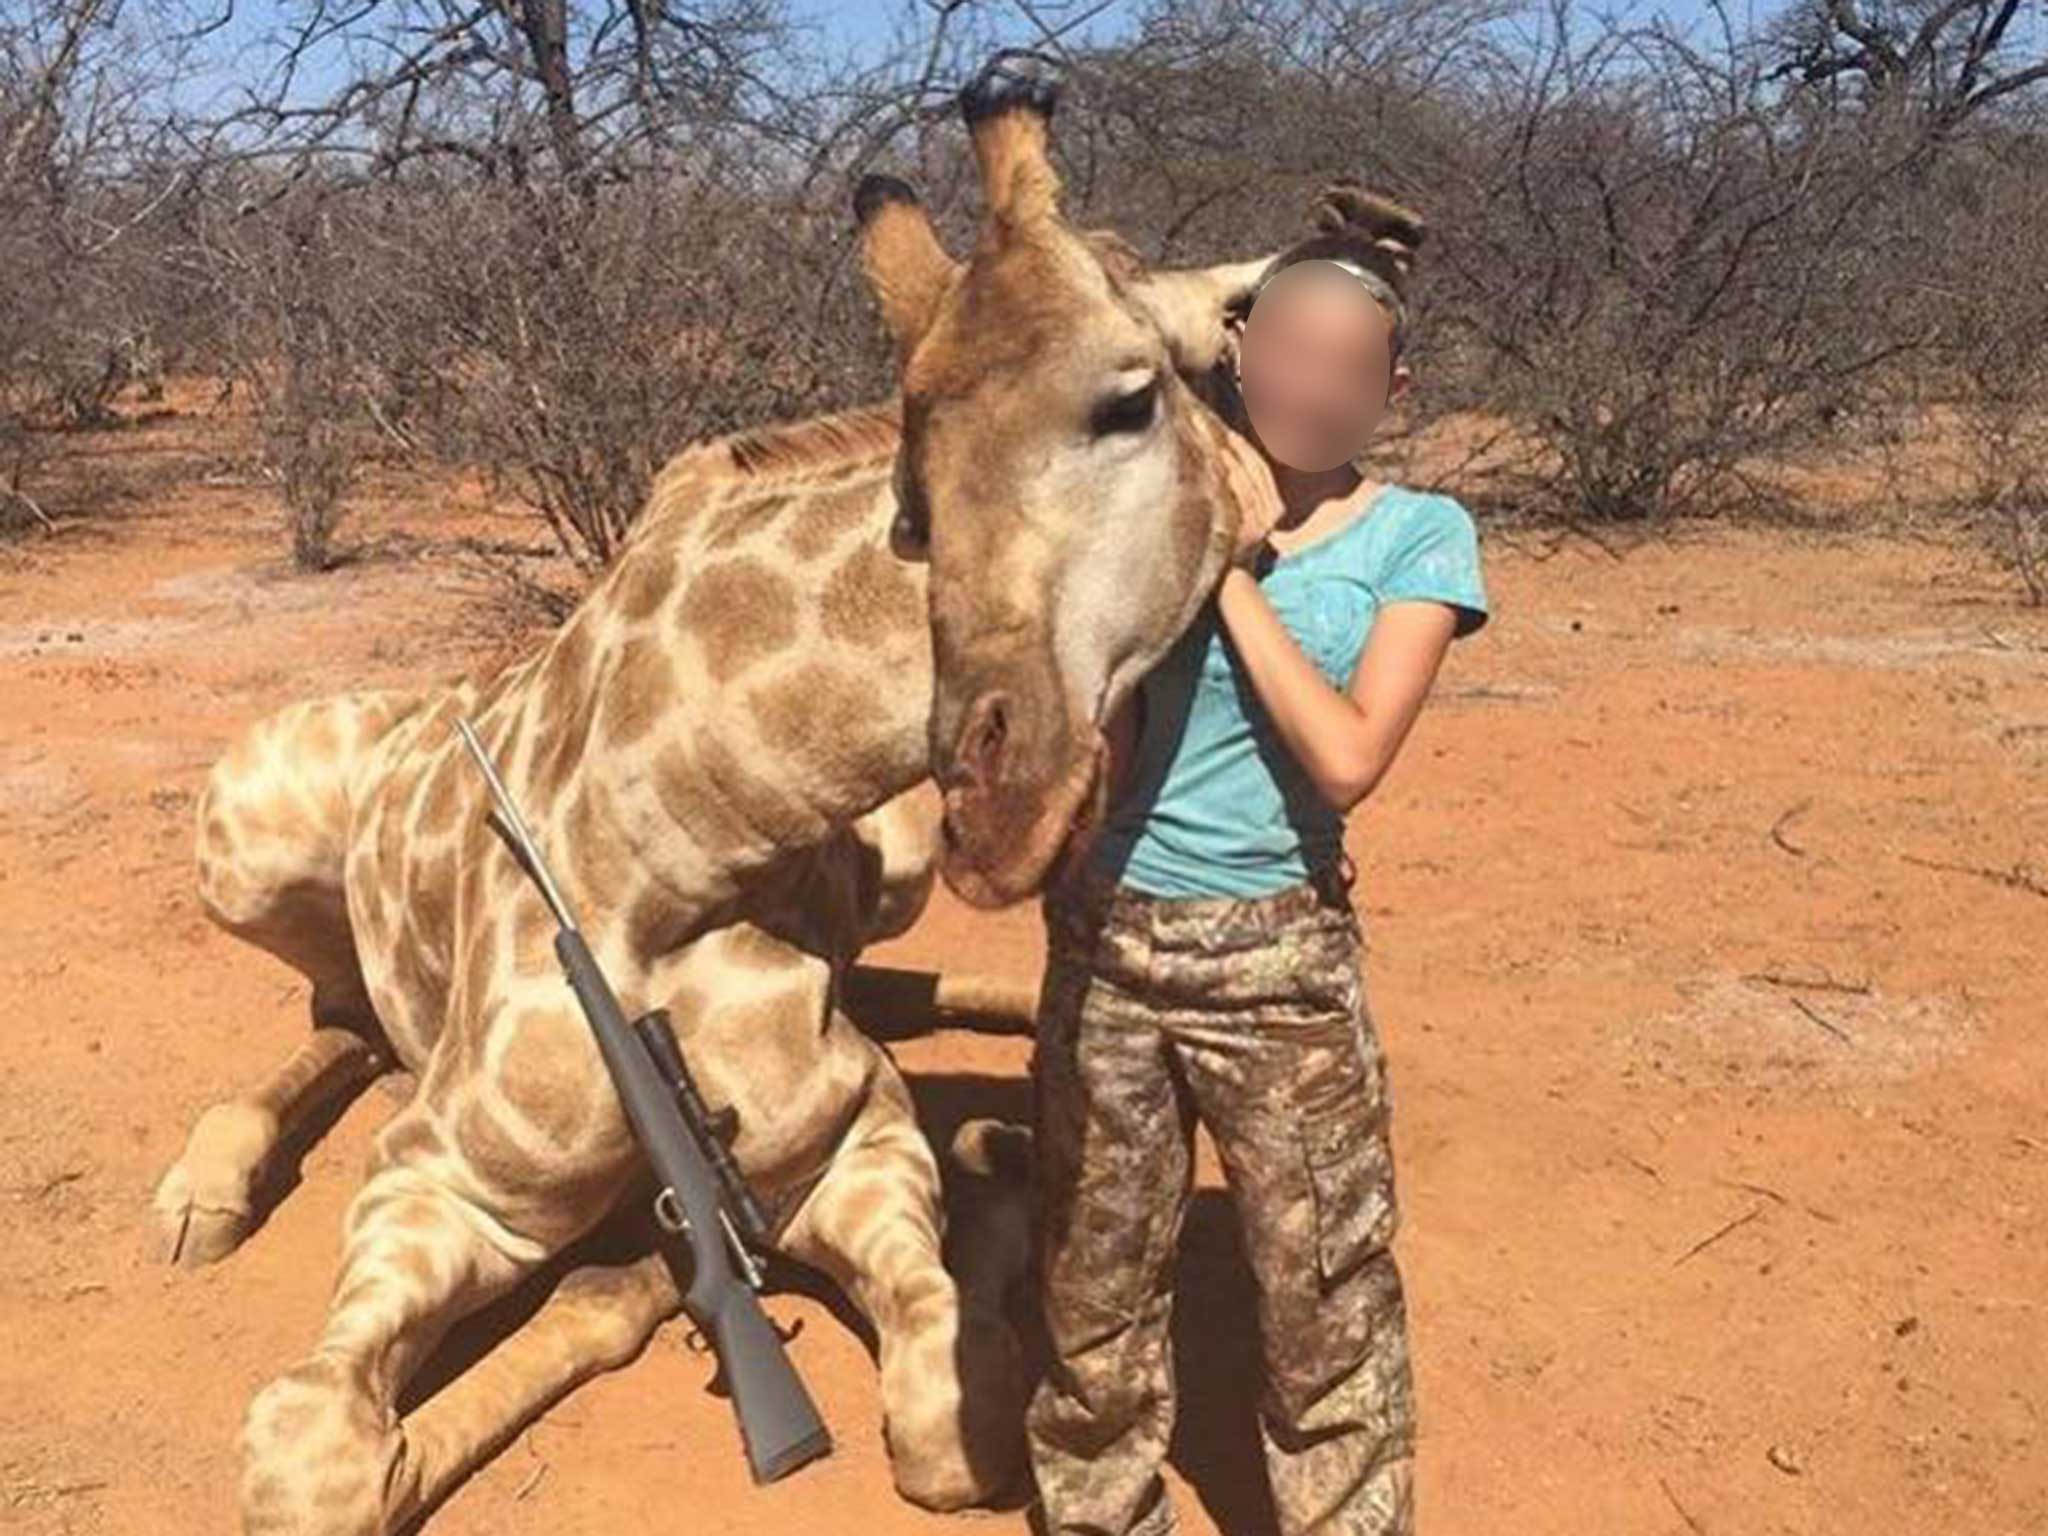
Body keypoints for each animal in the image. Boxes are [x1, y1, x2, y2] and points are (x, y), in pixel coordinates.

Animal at [148, 51, 1294, 1536]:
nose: (998, 793)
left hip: (895, 869)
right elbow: (319, 1458)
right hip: (242, 839)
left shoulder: (845, 1142)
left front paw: (986, 1182)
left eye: (1132, 396)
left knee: (895, 989)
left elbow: (946, 1431)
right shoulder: (442, 1178)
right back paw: (201, 1192)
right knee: (336, 1017)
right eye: (915, 481)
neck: (681, 836)